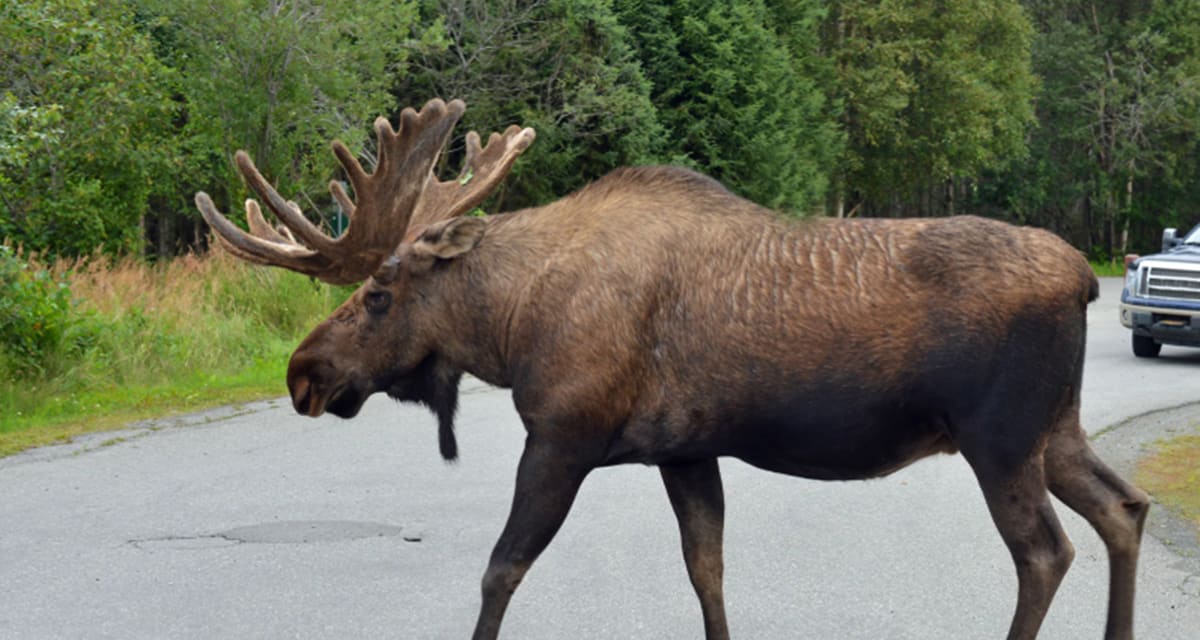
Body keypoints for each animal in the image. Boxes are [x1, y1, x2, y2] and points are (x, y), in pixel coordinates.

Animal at [195, 99, 1150, 640]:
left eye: (380, 292)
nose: (303, 373)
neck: (508, 324)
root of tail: (1081, 276)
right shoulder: (686, 451)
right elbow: (707, 572)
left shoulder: (562, 436)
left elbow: (501, 570)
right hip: (1054, 430)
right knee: (1123, 509)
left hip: (998, 437)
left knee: (1046, 551)